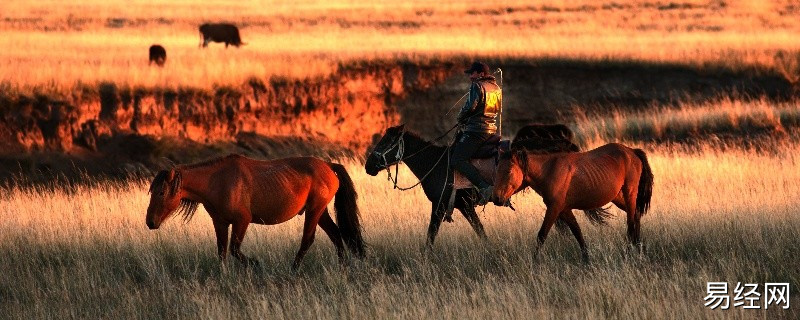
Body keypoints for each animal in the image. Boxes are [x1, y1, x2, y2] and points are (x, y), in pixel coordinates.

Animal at [145, 154, 364, 270]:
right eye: (151, 191)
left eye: (162, 192)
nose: (150, 222)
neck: (217, 182)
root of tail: (328, 165)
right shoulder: (220, 222)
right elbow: (222, 251)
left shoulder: (242, 221)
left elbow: (234, 249)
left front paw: (256, 264)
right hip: (320, 212)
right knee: (336, 234)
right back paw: (343, 266)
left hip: (314, 210)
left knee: (308, 240)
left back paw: (293, 270)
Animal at [490, 142, 652, 262]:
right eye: (497, 170)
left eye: (509, 171)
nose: (496, 198)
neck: (548, 170)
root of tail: (632, 152)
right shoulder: (564, 210)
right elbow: (577, 232)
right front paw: (586, 259)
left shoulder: (554, 208)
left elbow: (542, 235)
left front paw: (534, 261)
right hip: (618, 197)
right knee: (636, 215)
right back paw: (639, 248)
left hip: (629, 193)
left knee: (631, 222)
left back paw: (630, 251)